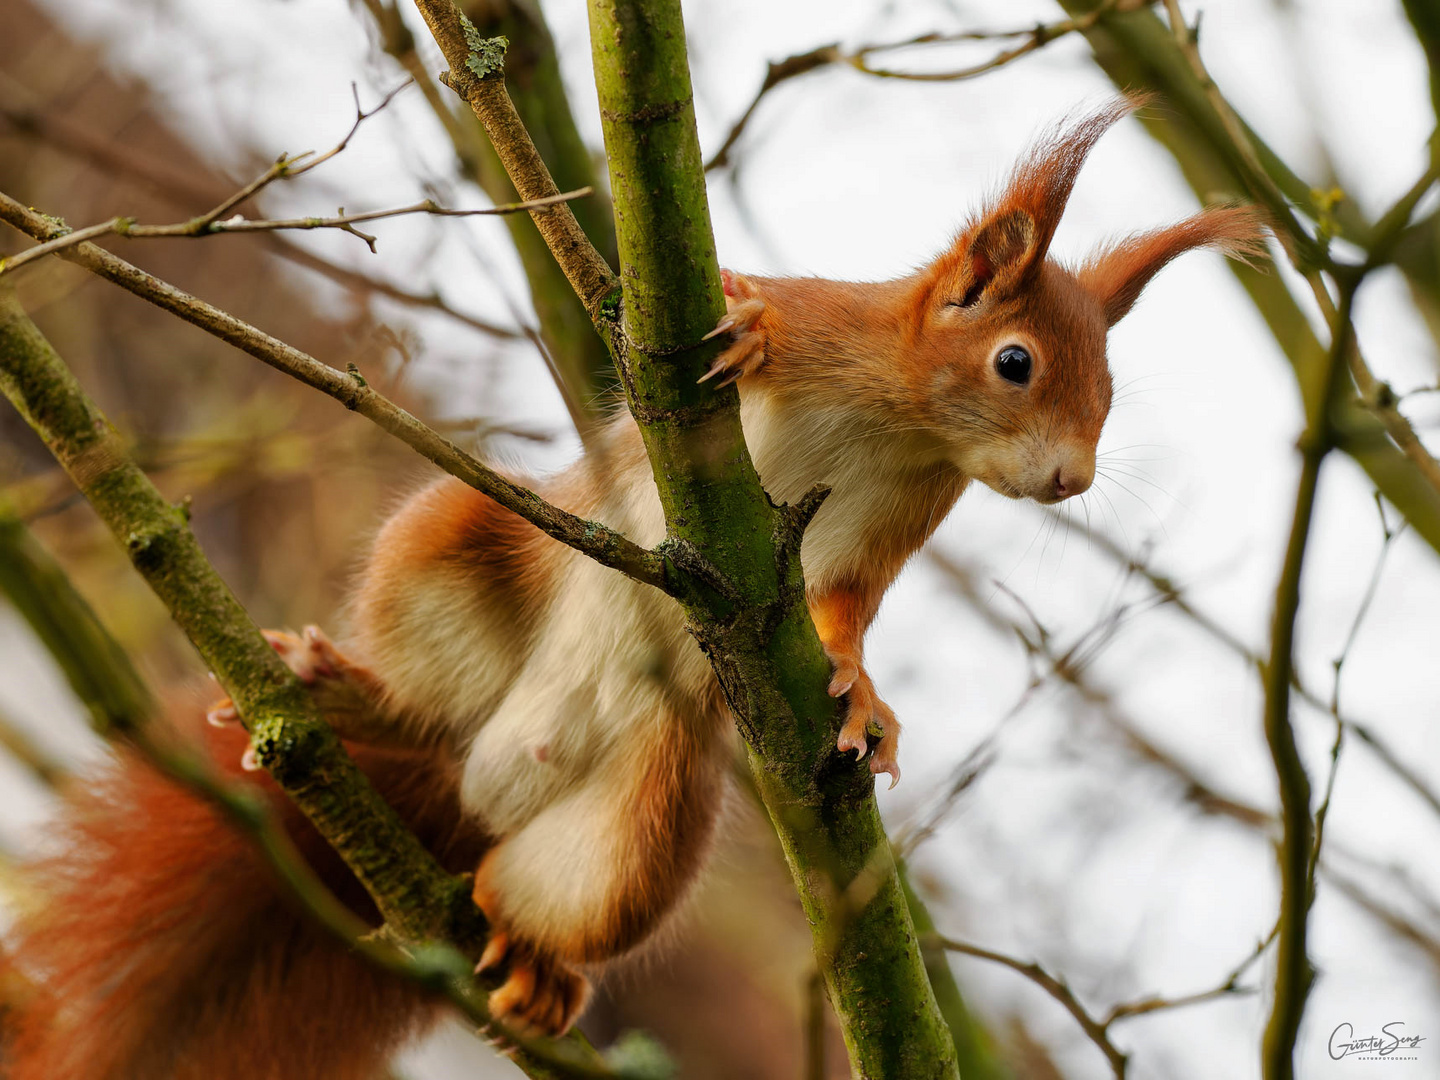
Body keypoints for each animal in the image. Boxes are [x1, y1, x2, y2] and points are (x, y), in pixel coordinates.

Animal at [5, 99, 1261, 1077]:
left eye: (1110, 390)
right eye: (1016, 362)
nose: (1071, 479)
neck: (898, 418)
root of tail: (469, 793)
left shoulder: (889, 527)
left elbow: (842, 616)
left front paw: (862, 698)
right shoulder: (805, 327)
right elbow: (702, 319)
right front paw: (745, 326)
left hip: (642, 830)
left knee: (539, 893)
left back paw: (536, 964)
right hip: (454, 553)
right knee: (424, 696)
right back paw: (355, 698)